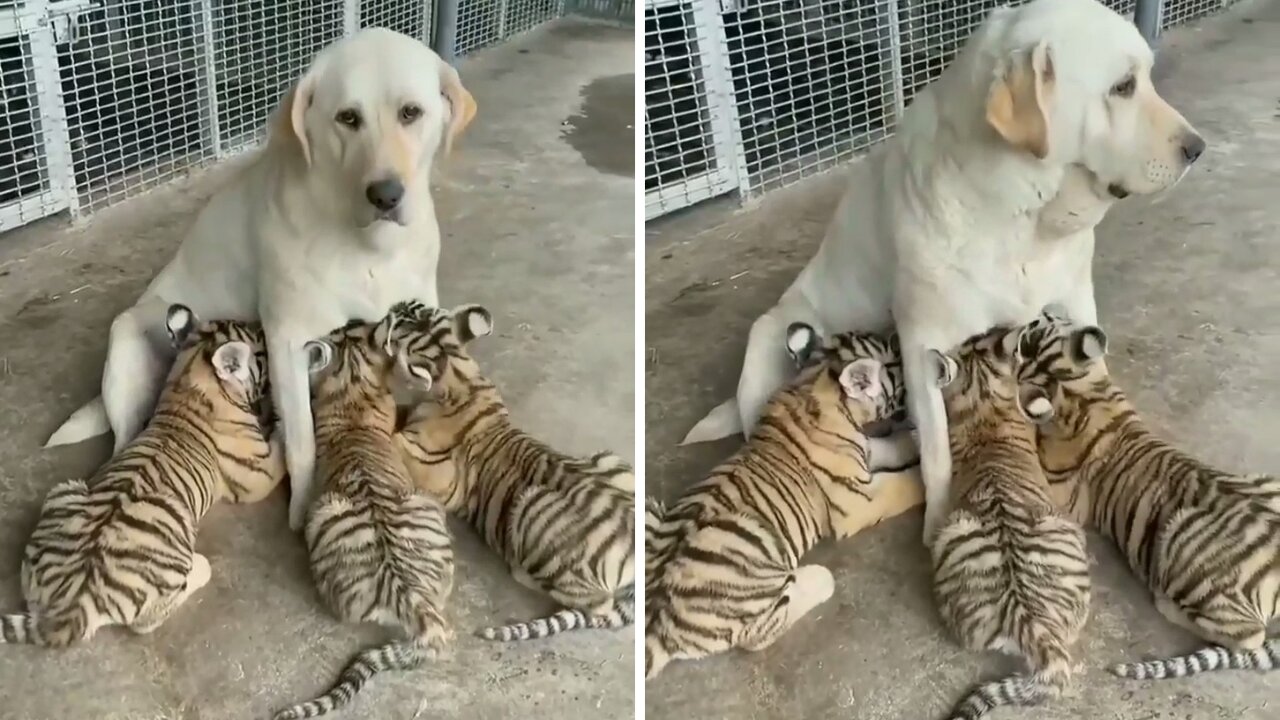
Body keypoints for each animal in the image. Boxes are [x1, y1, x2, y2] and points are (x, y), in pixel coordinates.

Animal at [45, 29, 478, 527]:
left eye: (411, 112)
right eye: (348, 118)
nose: (385, 195)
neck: (368, 244)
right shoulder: (288, 340)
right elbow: (302, 442)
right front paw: (303, 512)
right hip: (126, 348)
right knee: (122, 442)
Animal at [686, 0, 1203, 540]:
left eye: (1145, 78)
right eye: (1123, 86)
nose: (1197, 148)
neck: (1023, 211)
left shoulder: (1077, 298)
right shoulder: (923, 343)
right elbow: (937, 456)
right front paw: (937, 525)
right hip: (766, 350)